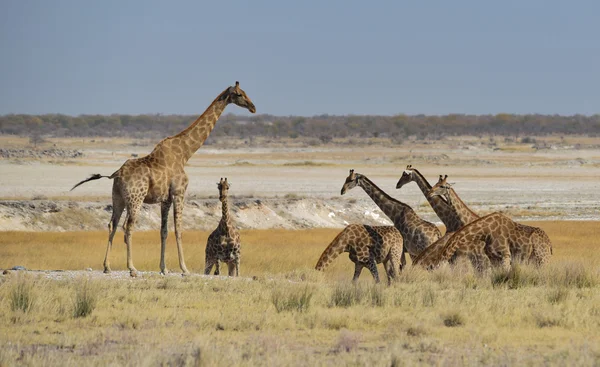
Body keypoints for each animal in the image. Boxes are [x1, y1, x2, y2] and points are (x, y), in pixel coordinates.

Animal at [71, 80, 256, 276]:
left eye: (245, 92)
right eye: (239, 94)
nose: (253, 107)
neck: (185, 153)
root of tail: (116, 174)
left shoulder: (165, 199)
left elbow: (164, 231)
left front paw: (164, 268)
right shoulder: (179, 193)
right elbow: (179, 229)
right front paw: (184, 269)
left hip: (118, 198)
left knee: (112, 225)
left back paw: (107, 266)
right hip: (135, 199)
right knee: (128, 227)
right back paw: (132, 268)